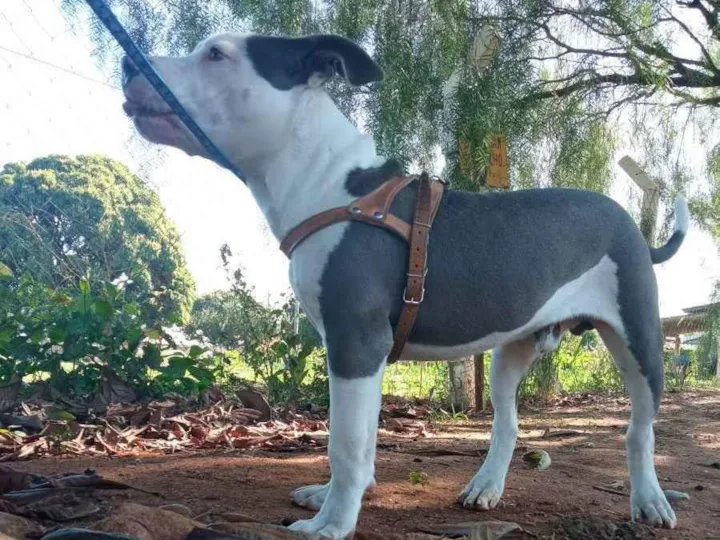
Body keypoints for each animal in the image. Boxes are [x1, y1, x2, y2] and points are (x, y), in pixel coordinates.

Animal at [121, 33, 688, 538]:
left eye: (216, 54)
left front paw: (331, 525)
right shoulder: (356, 352)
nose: (129, 63)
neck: (333, 186)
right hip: (513, 350)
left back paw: (650, 500)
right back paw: (485, 487)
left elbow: (345, 444)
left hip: (640, 343)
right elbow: (363, 437)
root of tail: (632, 227)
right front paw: (333, 498)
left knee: (640, 430)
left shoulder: (355, 341)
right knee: (506, 423)